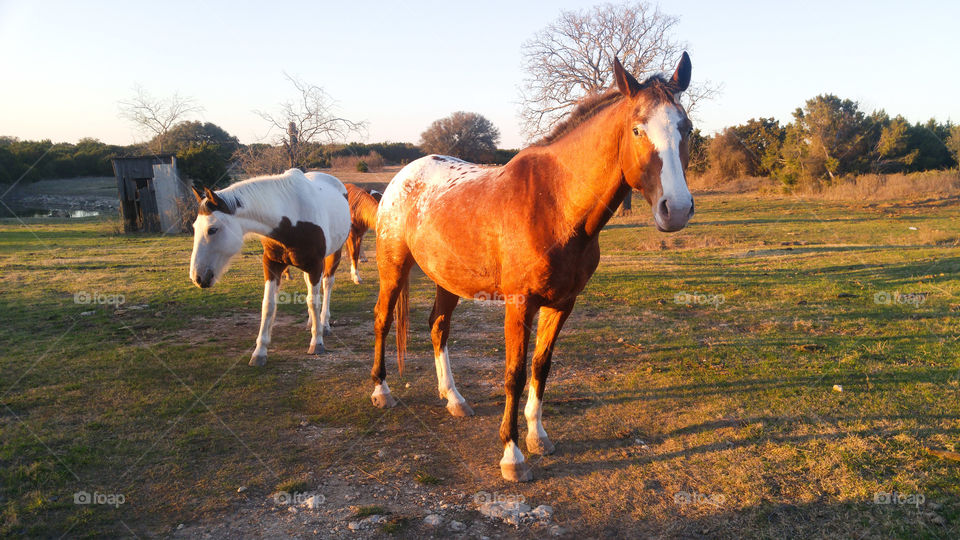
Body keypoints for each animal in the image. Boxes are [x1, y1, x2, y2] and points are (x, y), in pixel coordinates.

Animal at [189, 168, 350, 368]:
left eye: (212, 229)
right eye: (194, 227)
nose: (197, 277)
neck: (291, 219)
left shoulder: (315, 265)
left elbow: (314, 301)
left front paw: (317, 342)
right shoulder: (272, 265)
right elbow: (268, 305)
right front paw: (260, 352)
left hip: (333, 254)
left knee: (327, 285)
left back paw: (324, 324)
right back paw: (311, 323)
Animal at [372, 53, 692, 480]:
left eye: (686, 128)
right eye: (638, 130)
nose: (677, 209)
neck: (555, 205)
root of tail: (403, 176)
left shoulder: (562, 304)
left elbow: (541, 366)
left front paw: (538, 437)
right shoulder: (519, 304)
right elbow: (515, 374)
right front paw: (512, 455)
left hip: (448, 279)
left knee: (439, 328)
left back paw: (454, 398)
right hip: (393, 269)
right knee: (382, 320)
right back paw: (381, 391)